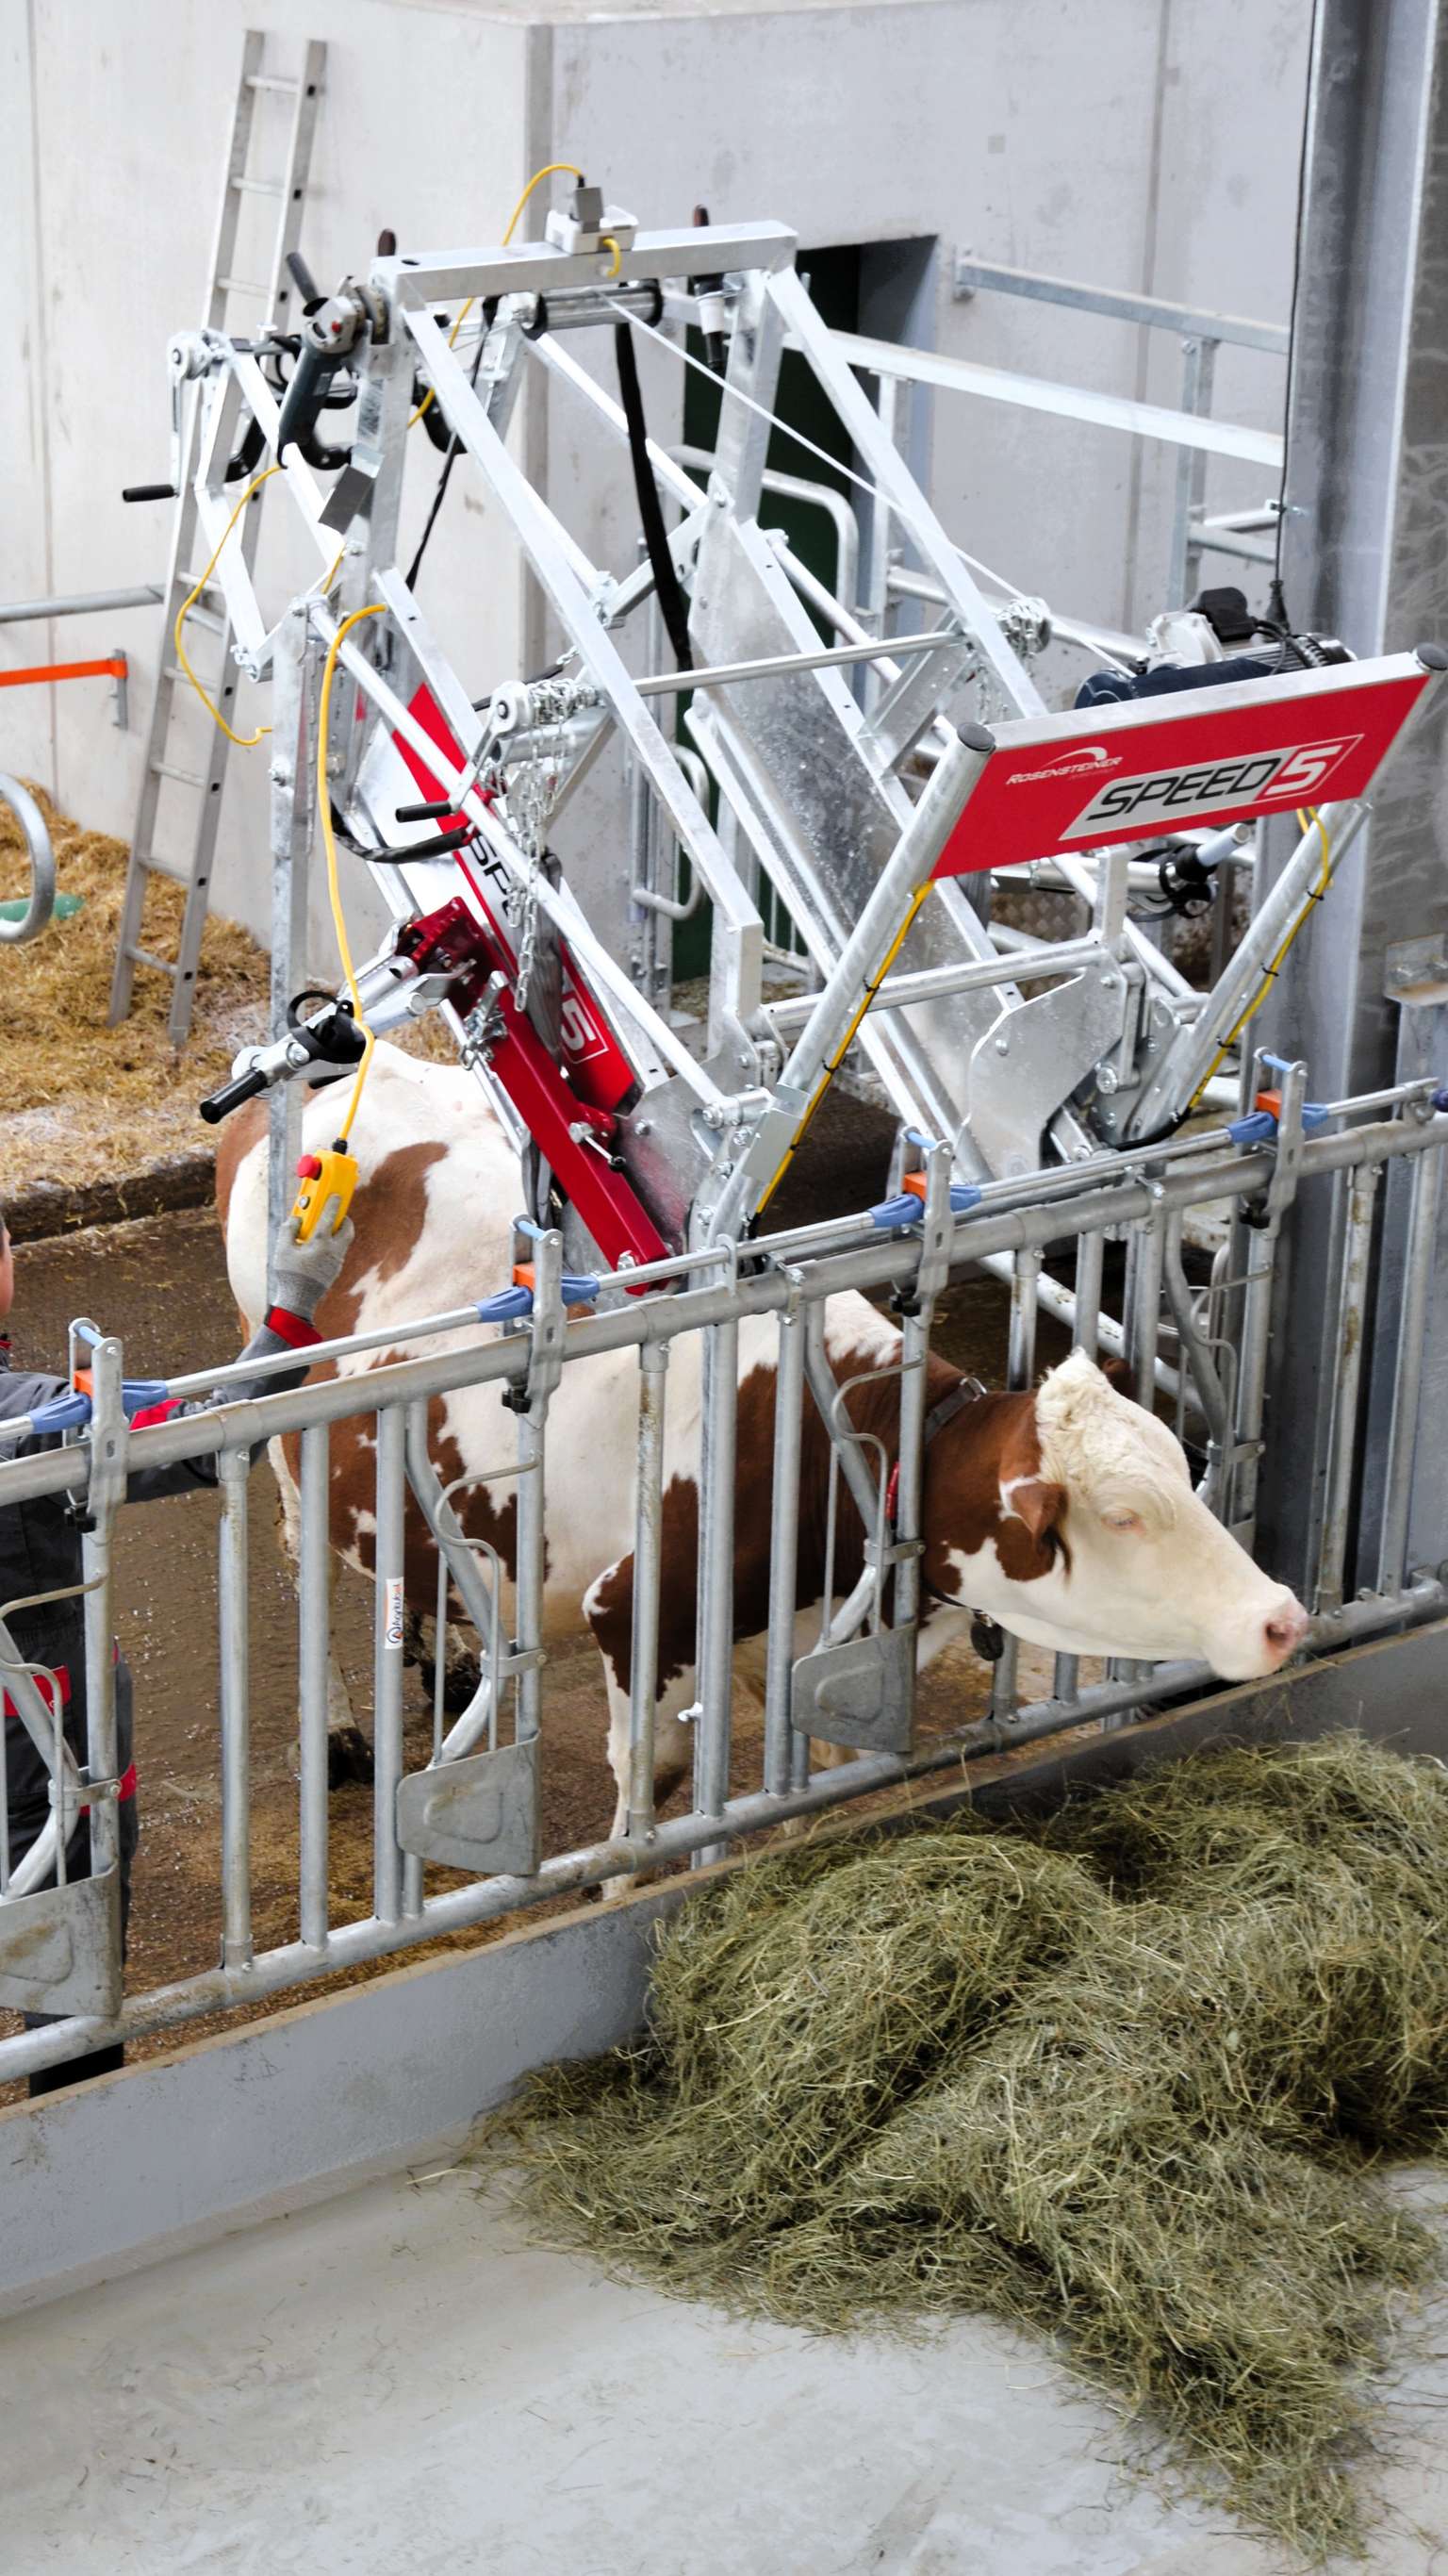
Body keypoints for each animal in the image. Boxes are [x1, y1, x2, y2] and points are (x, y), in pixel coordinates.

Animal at [216, 1042, 1309, 1838]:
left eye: (1182, 1465)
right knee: (298, 1557)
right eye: (1124, 1517)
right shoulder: (634, 1609)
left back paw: (448, 1656)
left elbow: (810, 1750)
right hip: (282, 1417)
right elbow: (652, 1775)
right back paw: (340, 1730)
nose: (1282, 1616)